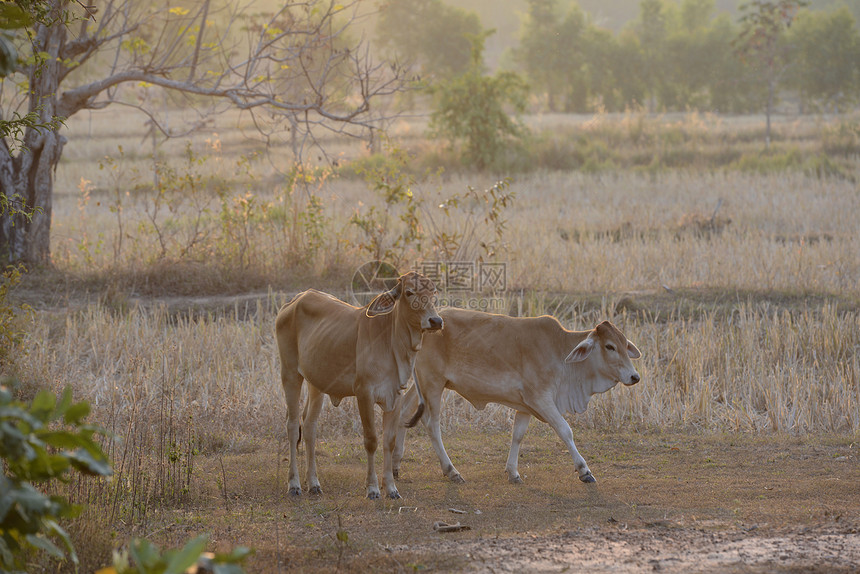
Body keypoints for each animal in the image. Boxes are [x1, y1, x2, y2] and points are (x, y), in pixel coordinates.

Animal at [278, 272, 444, 500]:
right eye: (409, 292)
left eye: (434, 291)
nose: (435, 321)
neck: (391, 342)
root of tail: (295, 300)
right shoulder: (364, 393)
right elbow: (371, 440)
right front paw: (373, 488)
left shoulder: (396, 396)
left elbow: (389, 441)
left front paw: (391, 488)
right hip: (290, 374)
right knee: (293, 426)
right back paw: (294, 484)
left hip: (316, 382)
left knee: (310, 426)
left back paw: (314, 483)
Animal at [394, 310, 640, 486]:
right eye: (609, 346)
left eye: (625, 344)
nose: (634, 376)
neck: (560, 352)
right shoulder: (542, 400)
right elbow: (565, 430)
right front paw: (584, 471)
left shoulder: (525, 405)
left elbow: (517, 435)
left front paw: (513, 472)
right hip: (433, 384)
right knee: (431, 424)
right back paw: (451, 471)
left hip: (422, 385)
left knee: (404, 410)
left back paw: (395, 465)